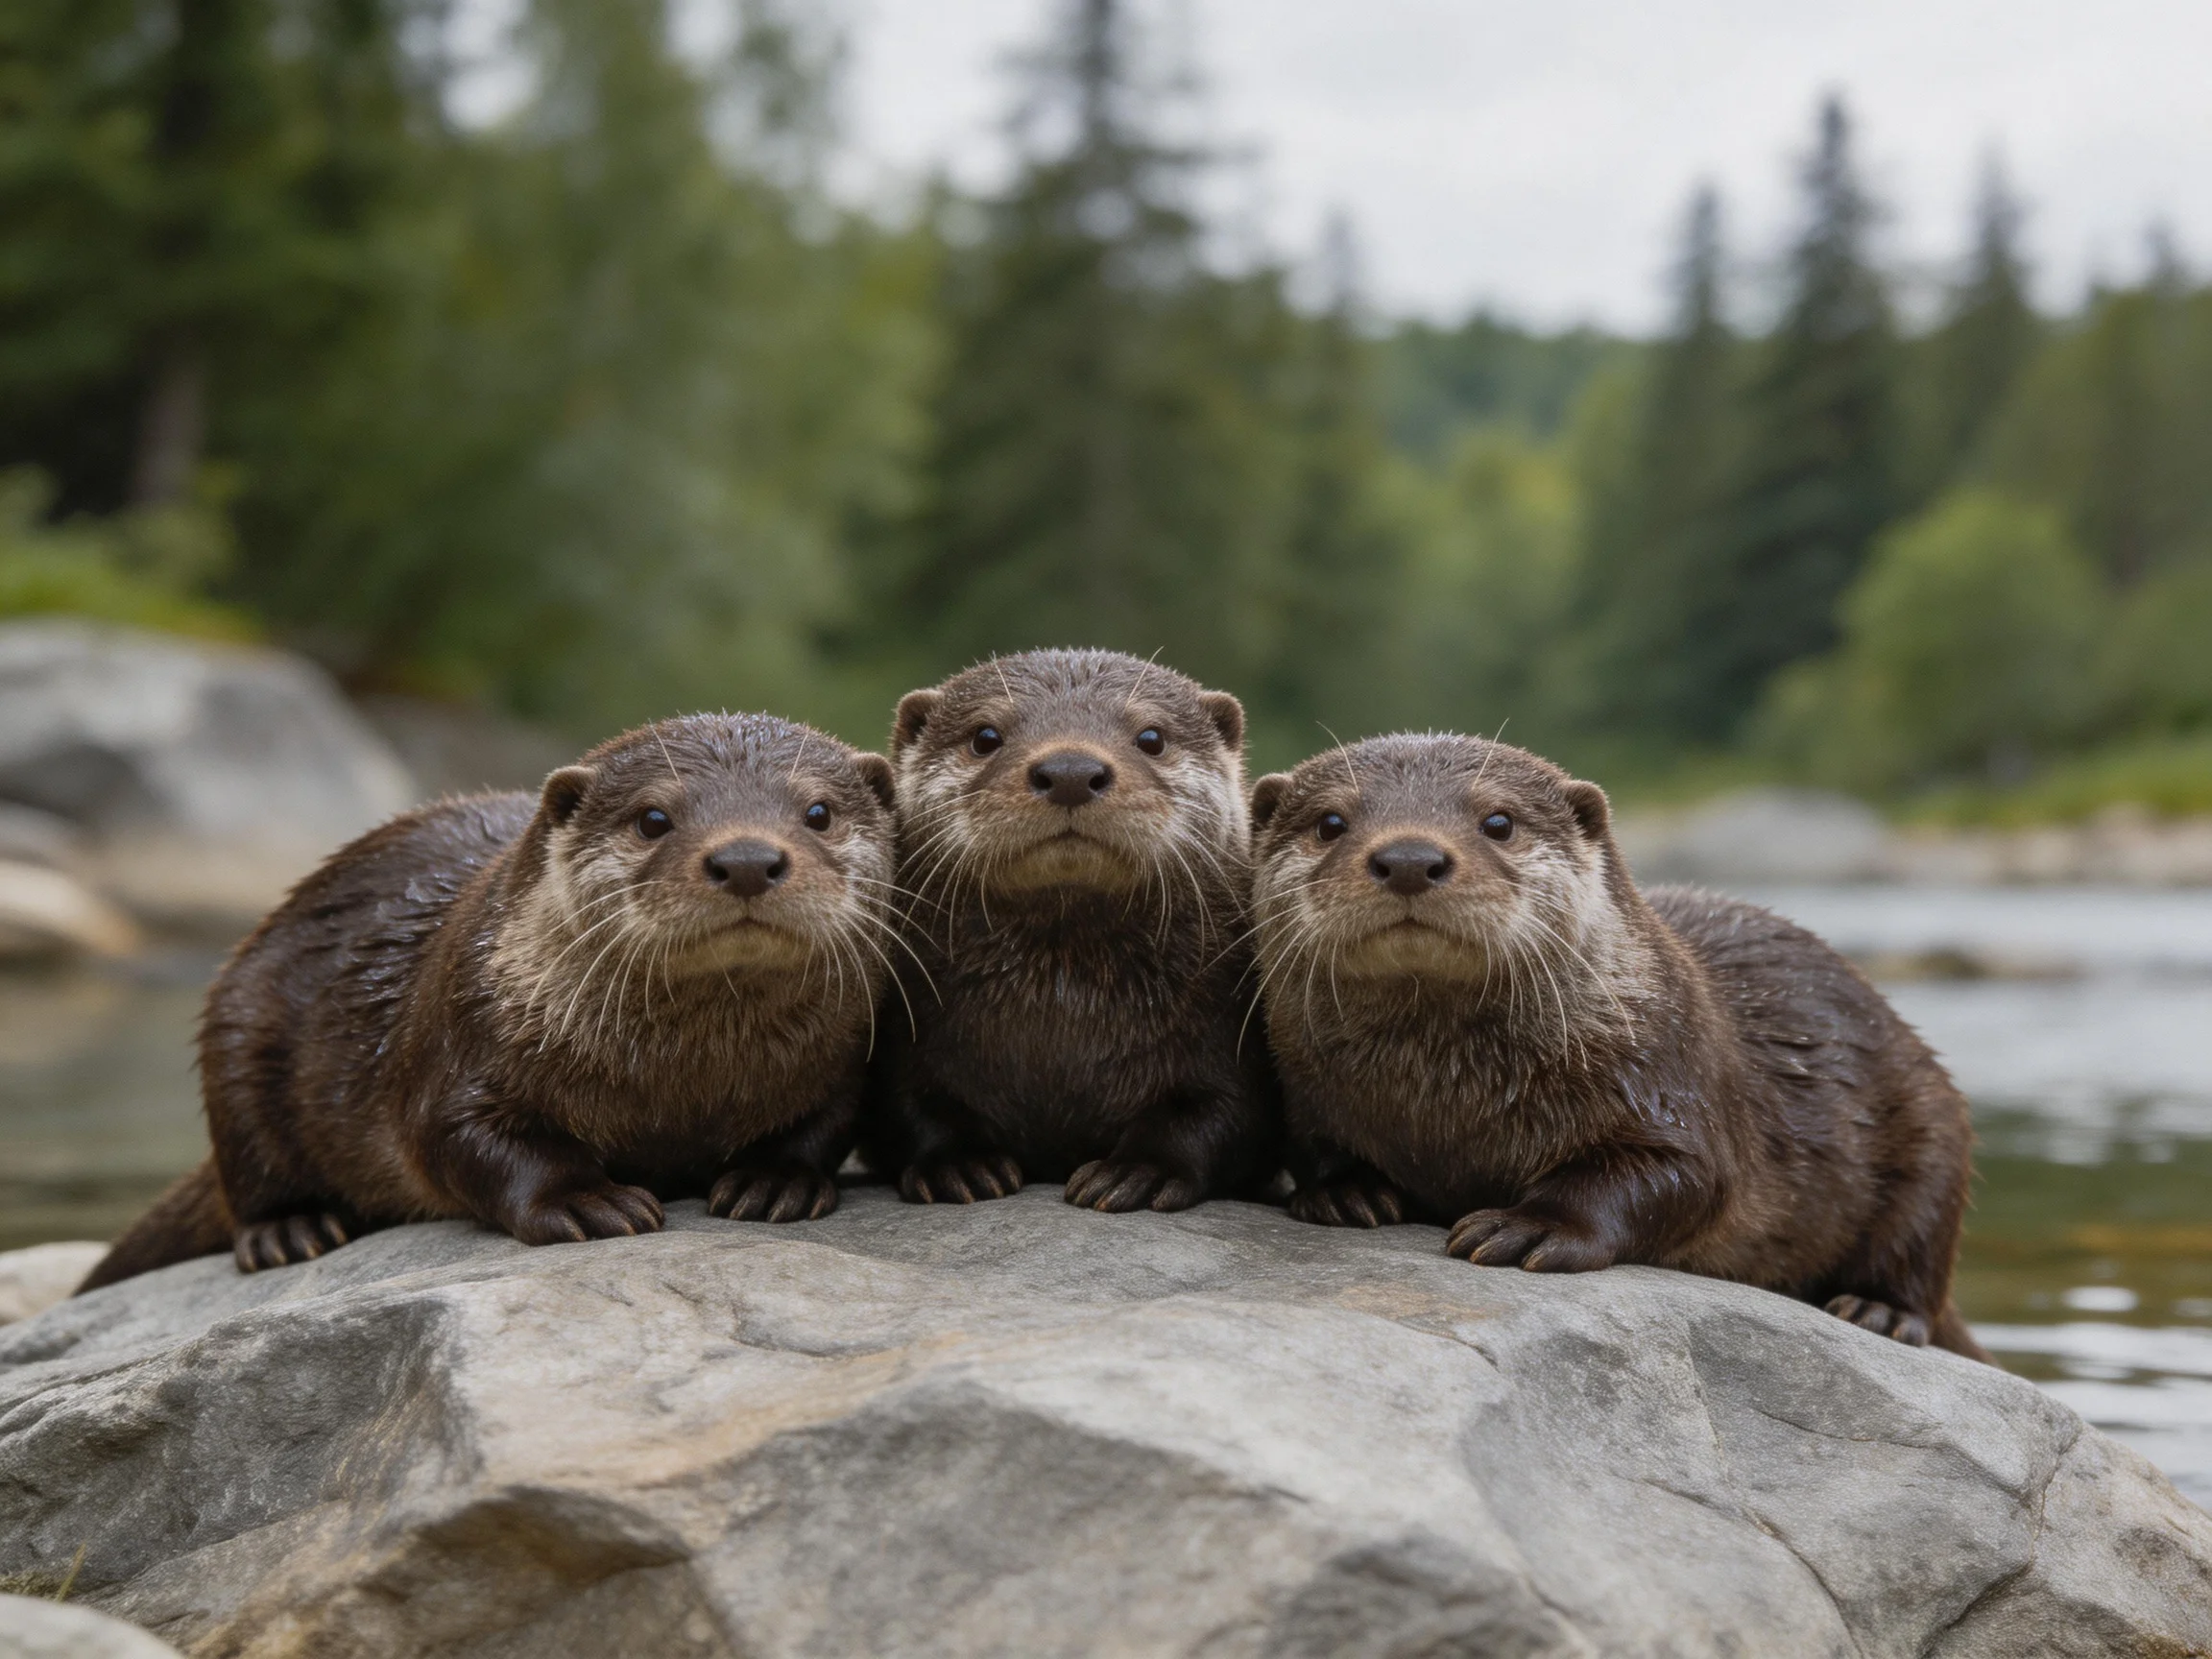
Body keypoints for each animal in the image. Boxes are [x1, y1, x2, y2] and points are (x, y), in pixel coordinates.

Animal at [79, 713, 898, 1291]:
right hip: (239, 1027)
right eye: (653, 818)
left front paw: (773, 1181)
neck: (684, 1084)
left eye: (818, 812)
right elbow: (462, 1140)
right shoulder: (460, 1041)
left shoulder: (846, 1057)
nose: (747, 858)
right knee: (248, 1170)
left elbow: (822, 1123)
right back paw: (291, 1230)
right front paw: (585, 1201)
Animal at [860, 649, 1274, 1212]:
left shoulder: (1228, 1031)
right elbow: (910, 1106)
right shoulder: (906, 1031)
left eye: (1152, 737)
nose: (1071, 771)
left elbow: (1217, 1113)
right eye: (985, 736)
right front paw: (959, 1166)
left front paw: (1138, 1172)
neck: (1066, 1016)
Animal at [1249, 733, 1986, 1359]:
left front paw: (1533, 1227)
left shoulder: (1670, 1077)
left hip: (1932, 1129)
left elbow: (1676, 1175)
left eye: (1498, 821)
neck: (1443, 1101)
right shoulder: (1303, 1091)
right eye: (1331, 823)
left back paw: (1877, 1311)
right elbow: (1315, 1148)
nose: (1408, 857)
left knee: (1917, 1249)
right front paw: (1349, 1193)